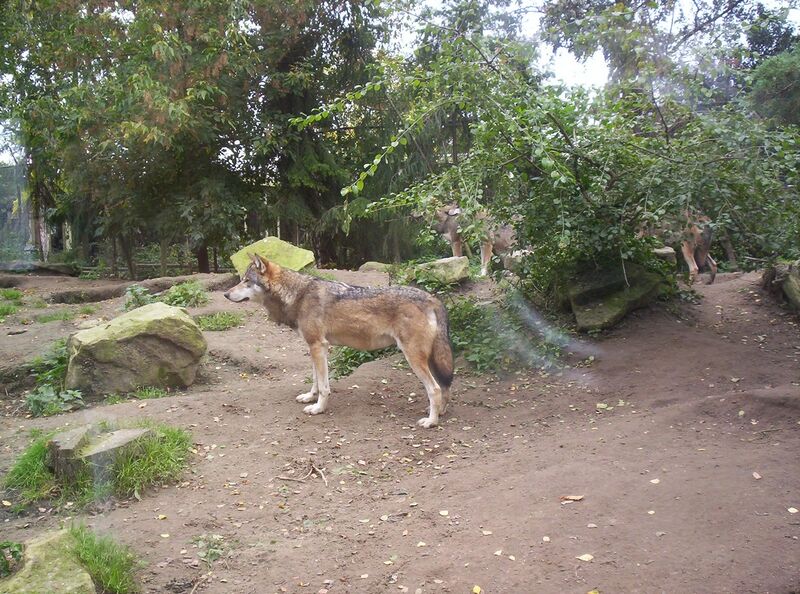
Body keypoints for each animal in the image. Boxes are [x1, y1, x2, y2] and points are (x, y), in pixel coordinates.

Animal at [224, 254, 454, 428]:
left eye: (246, 281)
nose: (226, 294)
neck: (298, 295)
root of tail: (432, 298)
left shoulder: (318, 346)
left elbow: (324, 386)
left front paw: (318, 408)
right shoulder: (313, 347)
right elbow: (315, 380)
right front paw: (310, 397)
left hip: (413, 357)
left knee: (434, 388)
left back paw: (431, 421)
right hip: (428, 358)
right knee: (443, 386)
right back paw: (440, 412)